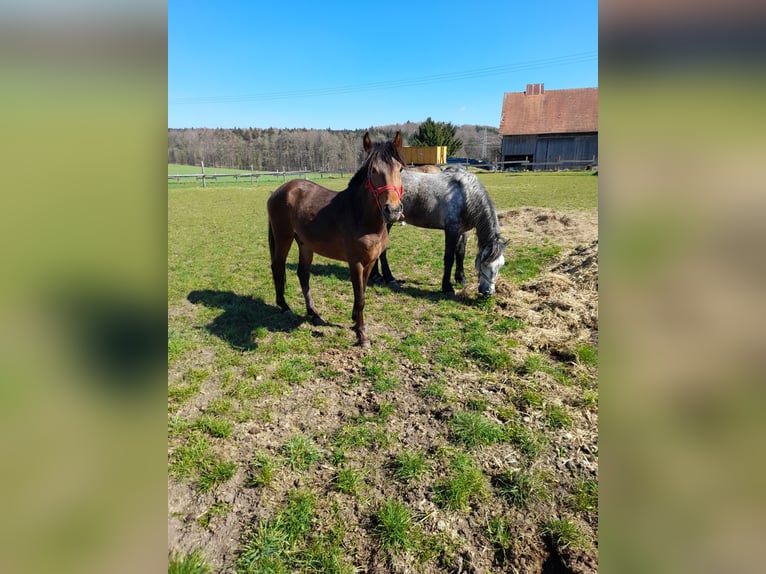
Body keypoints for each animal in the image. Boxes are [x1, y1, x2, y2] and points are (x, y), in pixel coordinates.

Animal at [267, 131, 405, 347]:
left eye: (400, 168)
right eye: (373, 170)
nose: (393, 210)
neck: (361, 217)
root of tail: (278, 191)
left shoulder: (370, 262)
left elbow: (362, 294)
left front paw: (356, 322)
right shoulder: (355, 263)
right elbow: (360, 298)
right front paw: (362, 336)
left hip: (305, 244)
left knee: (303, 274)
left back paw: (314, 313)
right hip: (283, 238)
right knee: (278, 267)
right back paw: (285, 307)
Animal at [369, 166, 508, 296]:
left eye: (500, 265)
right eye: (485, 264)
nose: (488, 292)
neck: (466, 195)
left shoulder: (463, 231)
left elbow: (460, 253)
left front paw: (461, 279)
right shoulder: (451, 230)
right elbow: (449, 258)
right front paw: (447, 286)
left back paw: (376, 275)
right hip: (387, 222)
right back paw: (388, 277)